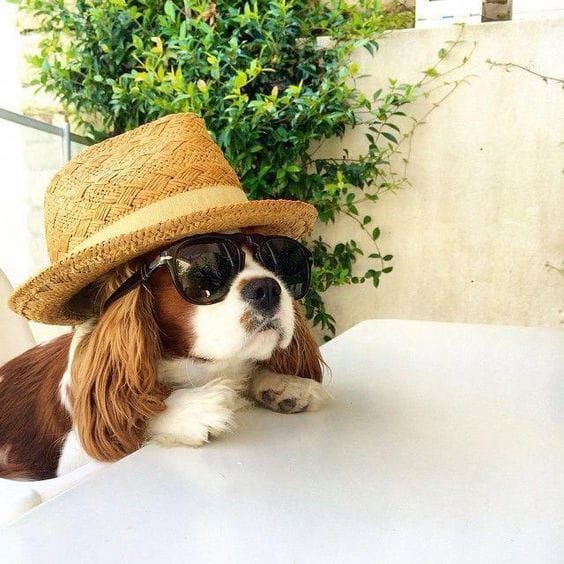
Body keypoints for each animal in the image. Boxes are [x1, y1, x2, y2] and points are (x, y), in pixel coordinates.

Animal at [0, 233, 329, 480]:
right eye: (204, 271)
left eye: (278, 260)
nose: (268, 287)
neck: (197, 369)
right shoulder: (72, 453)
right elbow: (126, 418)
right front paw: (192, 409)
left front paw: (283, 384)